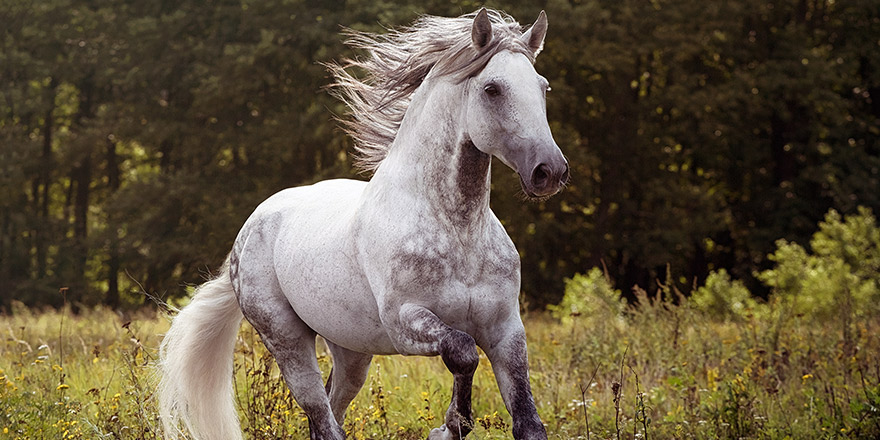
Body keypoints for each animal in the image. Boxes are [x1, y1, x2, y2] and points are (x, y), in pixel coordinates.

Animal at [156, 7, 572, 440]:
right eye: (492, 89)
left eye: (543, 87)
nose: (550, 171)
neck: (459, 231)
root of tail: (249, 229)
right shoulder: (405, 322)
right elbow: (462, 352)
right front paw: (448, 426)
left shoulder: (506, 330)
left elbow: (527, 421)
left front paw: (451, 424)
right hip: (286, 339)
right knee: (320, 412)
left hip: (351, 350)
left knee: (331, 408)